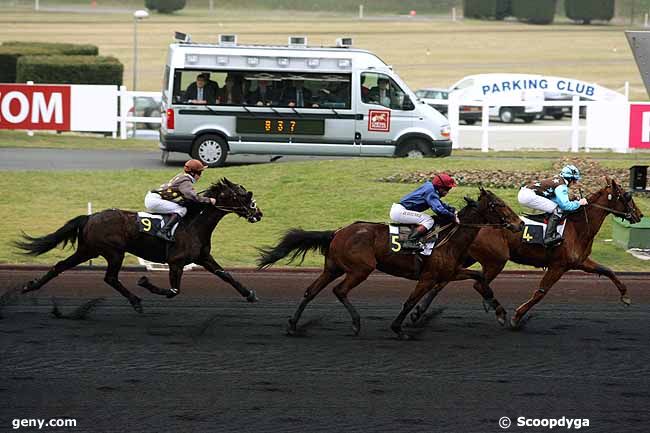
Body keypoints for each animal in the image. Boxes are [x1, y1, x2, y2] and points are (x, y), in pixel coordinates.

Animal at [12, 177, 262, 312]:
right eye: (243, 195)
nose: (258, 213)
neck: (193, 224)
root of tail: (90, 217)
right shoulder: (176, 262)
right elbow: (173, 290)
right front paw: (144, 281)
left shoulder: (203, 257)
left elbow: (226, 275)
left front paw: (250, 294)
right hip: (113, 252)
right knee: (110, 278)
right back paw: (136, 300)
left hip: (88, 250)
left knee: (61, 266)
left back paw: (30, 286)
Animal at [258, 188, 520, 338]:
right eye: (499, 205)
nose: (518, 223)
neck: (449, 236)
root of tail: (338, 232)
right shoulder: (428, 277)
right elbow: (409, 302)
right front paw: (398, 328)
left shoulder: (449, 272)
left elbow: (480, 278)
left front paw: (499, 312)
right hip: (360, 269)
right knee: (339, 290)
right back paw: (355, 323)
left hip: (333, 268)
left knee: (310, 291)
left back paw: (293, 325)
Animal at [410, 176, 644, 328]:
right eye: (627, 196)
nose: (640, 215)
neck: (578, 226)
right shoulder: (559, 266)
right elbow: (541, 292)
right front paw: (517, 317)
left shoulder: (580, 262)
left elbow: (607, 270)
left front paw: (625, 296)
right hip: (496, 260)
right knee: (477, 284)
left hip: (467, 256)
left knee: (442, 282)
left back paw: (419, 312)